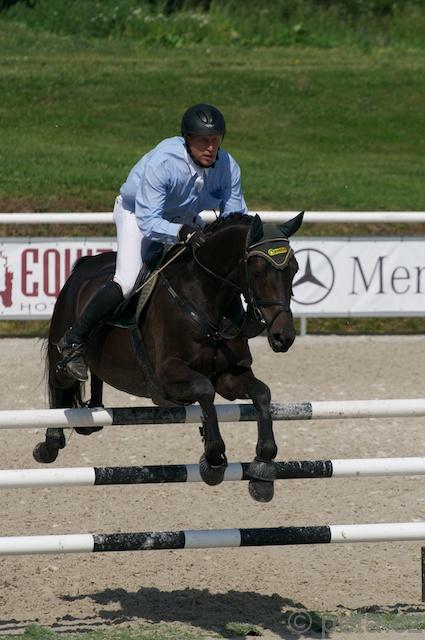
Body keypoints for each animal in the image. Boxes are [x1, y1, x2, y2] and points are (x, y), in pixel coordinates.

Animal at [34, 211, 303, 502]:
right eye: (258, 270)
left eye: (295, 269)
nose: (284, 336)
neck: (207, 299)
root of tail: (83, 267)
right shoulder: (168, 375)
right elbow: (205, 390)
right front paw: (213, 458)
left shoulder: (229, 377)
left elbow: (262, 393)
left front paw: (263, 466)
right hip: (63, 348)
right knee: (58, 385)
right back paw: (50, 442)